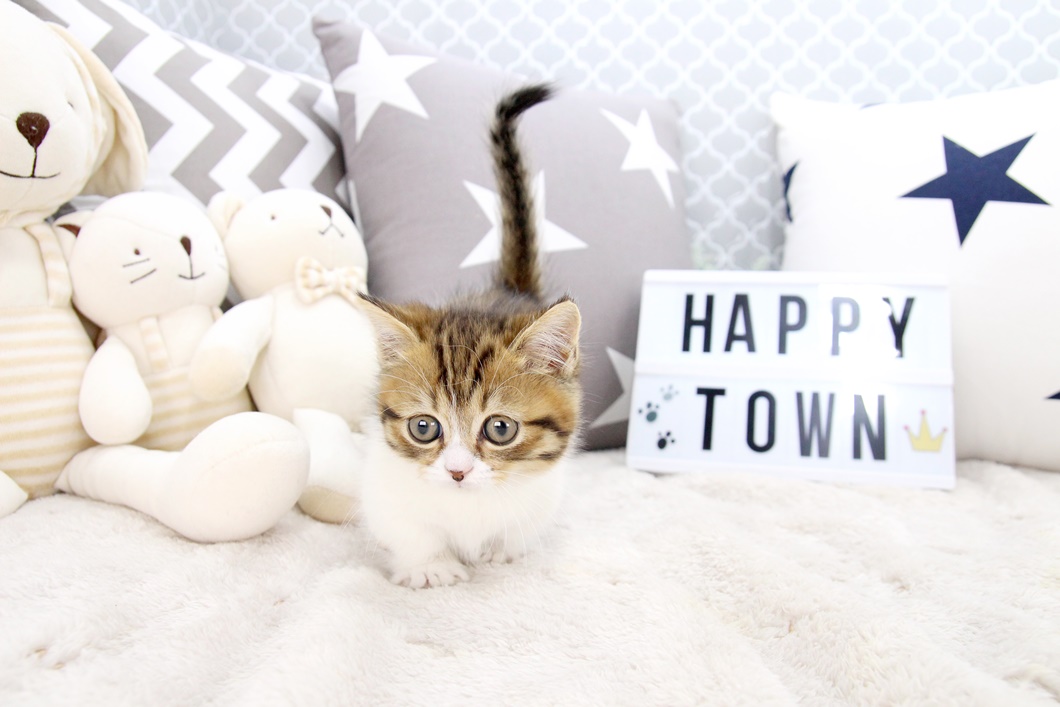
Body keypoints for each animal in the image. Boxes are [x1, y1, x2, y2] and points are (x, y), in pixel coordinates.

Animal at [356, 84, 582, 589]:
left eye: (500, 429)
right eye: (424, 427)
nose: (457, 472)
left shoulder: (544, 490)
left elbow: (520, 527)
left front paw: (503, 550)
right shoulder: (384, 488)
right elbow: (410, 530)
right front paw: (429, 567)